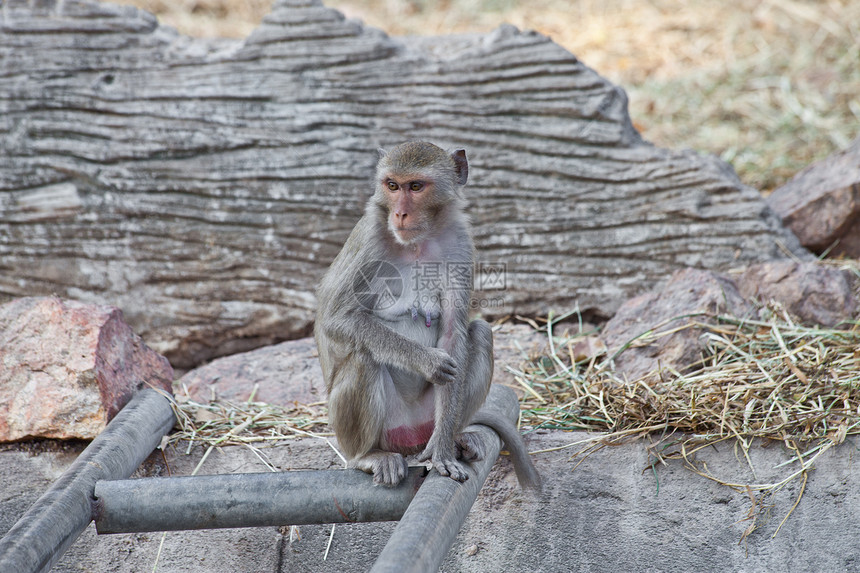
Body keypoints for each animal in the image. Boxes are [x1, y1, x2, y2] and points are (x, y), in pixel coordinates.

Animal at [312, 141, 540, 490]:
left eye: (416, 187)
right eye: (392, 186)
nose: (400, 213)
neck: (418, 240)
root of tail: (410, 439)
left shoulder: (459, 242)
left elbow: (453, 333)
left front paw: (443, 451)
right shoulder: (369, 239)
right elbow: (337, 317)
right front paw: (428, 361)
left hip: (425, 419)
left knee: (480, 333)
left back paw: (455, 438)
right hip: (381, 428)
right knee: (363, 357)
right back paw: (368, 456)